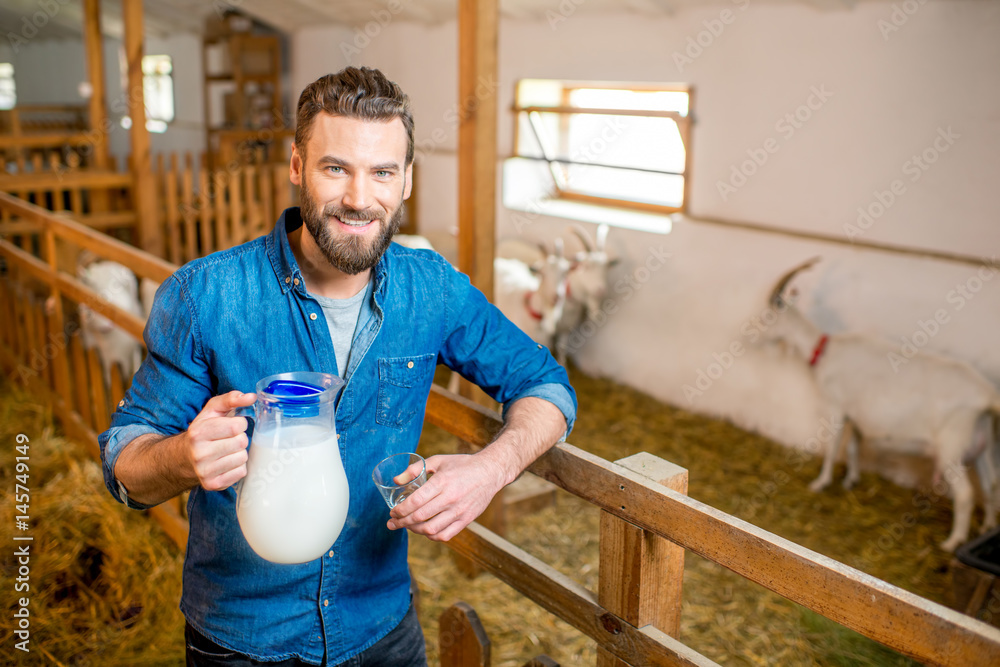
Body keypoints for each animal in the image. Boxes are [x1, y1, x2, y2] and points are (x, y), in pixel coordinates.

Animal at [760, 260, 996, 552]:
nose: (753, 337)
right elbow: (853, 447)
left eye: (767, 317)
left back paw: (951, 543)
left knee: (965, 495)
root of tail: (987, 397)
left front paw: (820, 483)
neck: (825, 353)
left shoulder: (836, 408)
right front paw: (851, 480)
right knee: (991, 484)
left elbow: (833, 447)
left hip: (952, 446)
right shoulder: (855, 415)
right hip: (984, 445)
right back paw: (987, 527)